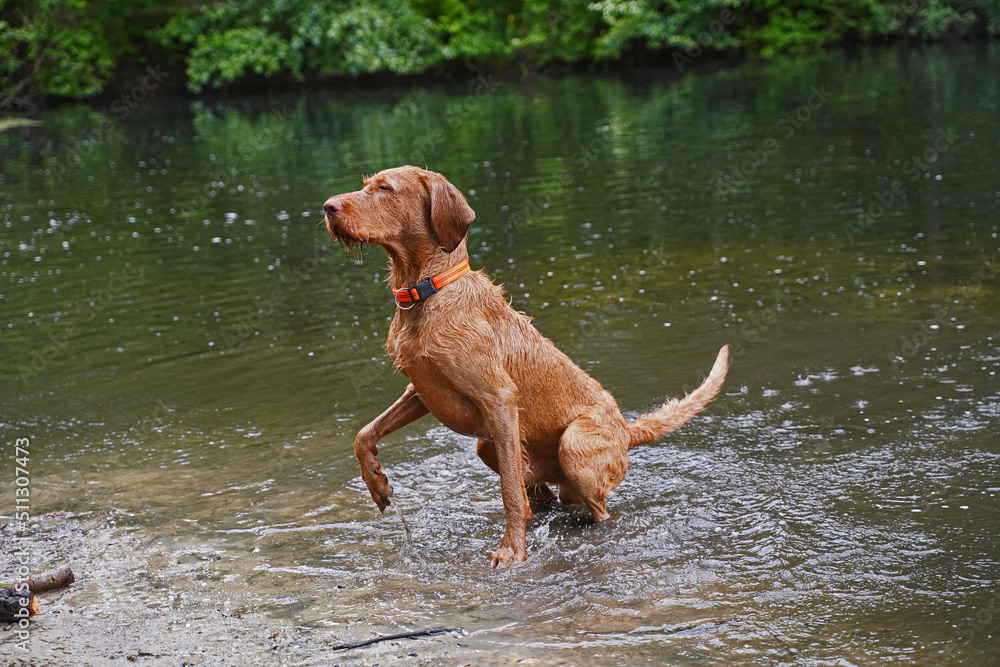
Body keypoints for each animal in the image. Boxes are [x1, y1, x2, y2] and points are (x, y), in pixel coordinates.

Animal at [323, 165, 728, 568]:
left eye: (385, 188)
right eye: (365, 185)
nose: (327, 207)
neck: (427, 291)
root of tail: (627, 431)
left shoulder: (499, 399)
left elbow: (510, 495)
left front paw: (512, 551)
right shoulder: (420, 392)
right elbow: (364, 433)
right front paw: (376, 482)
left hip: (572, 448)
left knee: (596, 511)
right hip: (493, 448)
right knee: (541, 495)